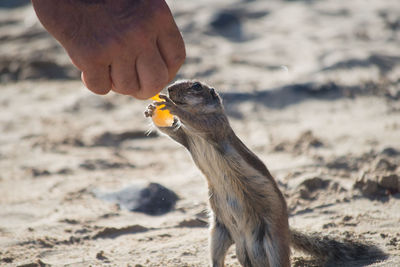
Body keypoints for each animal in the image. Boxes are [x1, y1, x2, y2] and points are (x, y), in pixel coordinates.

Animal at [144, 80, 384, 266]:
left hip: (273, 241)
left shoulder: (214, 125)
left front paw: (170, 105)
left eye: (196, 86)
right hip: (219, 233)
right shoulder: (185, 137)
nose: (169, 88)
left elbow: (196, 121)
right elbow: (172, 132)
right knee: (217, 258)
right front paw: (151, 109)